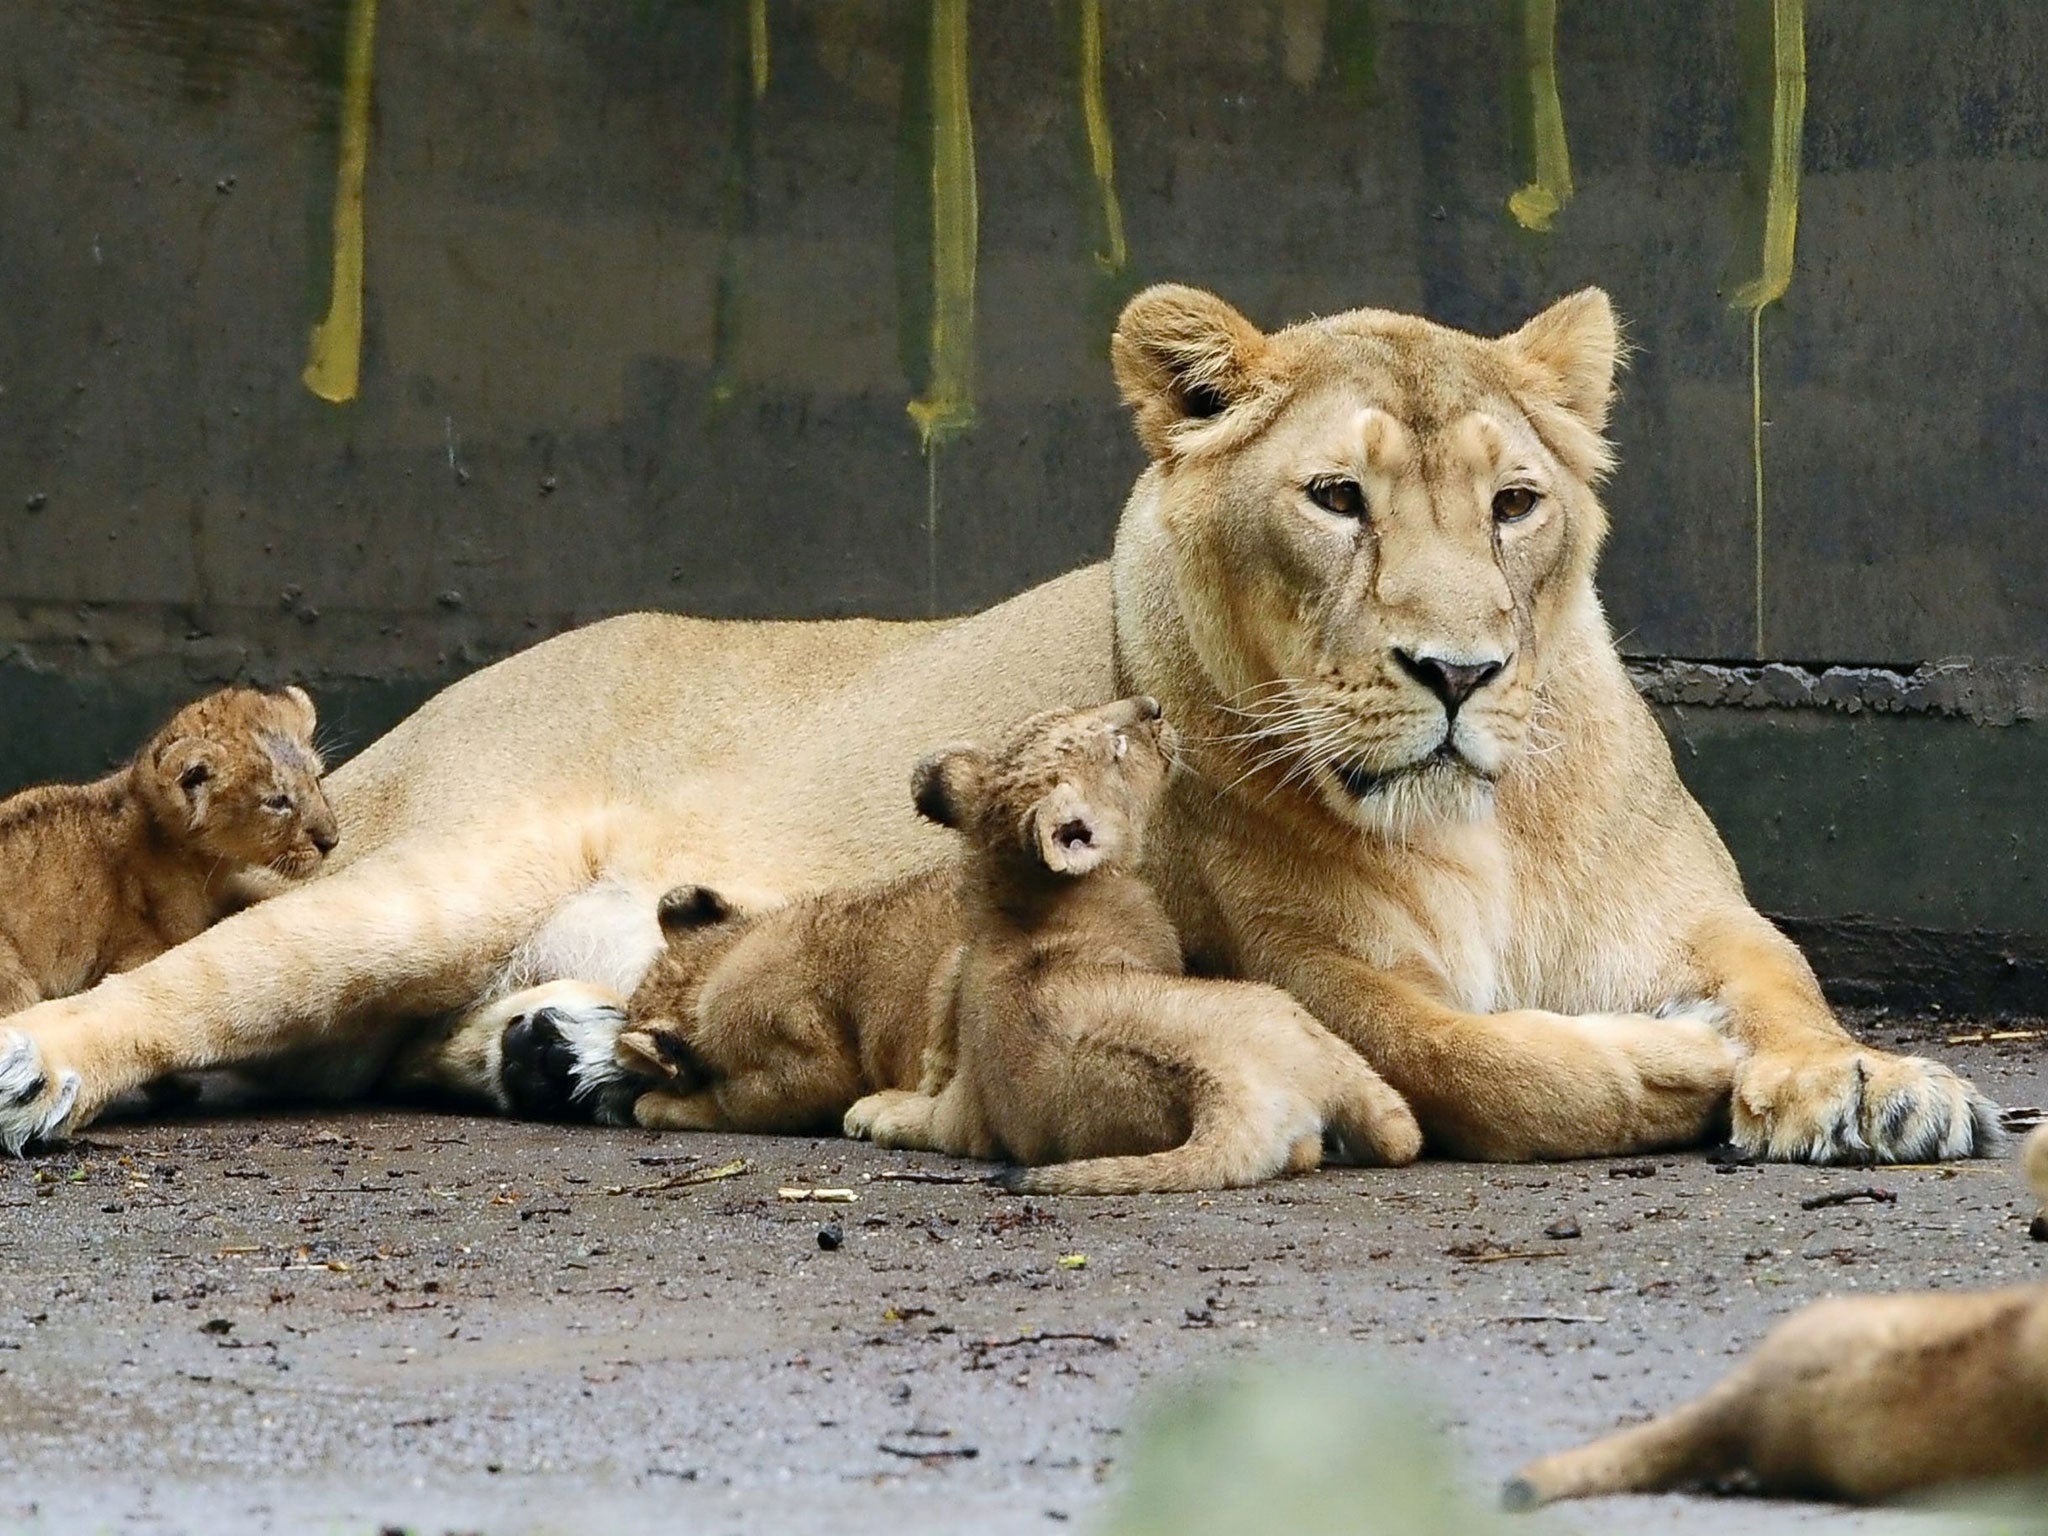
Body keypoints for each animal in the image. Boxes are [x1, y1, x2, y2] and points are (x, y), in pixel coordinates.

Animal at [0, 286, 1990, 1163]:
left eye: (1512, 507)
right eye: (1336, 499)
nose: (1455, 675)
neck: (1483, 814)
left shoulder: (1696, 913)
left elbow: (1789, 979)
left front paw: (1871, 1083)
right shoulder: (1302, 971)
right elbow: (1487, 1062)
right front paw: (1679, 1074)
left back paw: (557, 1053)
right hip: (427, 871)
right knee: (195, 993)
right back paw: (45, 1071)